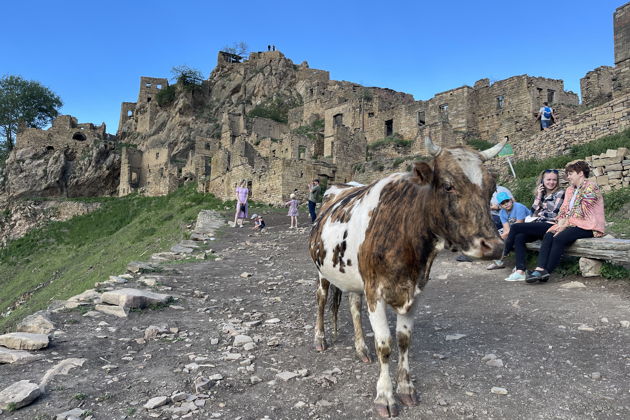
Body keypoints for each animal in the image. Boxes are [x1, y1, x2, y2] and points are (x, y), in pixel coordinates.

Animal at [308, 137, 506, 416]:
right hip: (322, 271)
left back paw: (361, 349)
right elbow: (385, 344)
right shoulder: (376, 291)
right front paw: (385, 396)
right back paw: (320, 339)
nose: (494, 246)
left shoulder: (415, 291)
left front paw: (406, 389)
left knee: (354, 307)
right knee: (322, 300)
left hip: (353, 277)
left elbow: (404, 341)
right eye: (448, 185)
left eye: (492, 188)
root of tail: (341, 186)